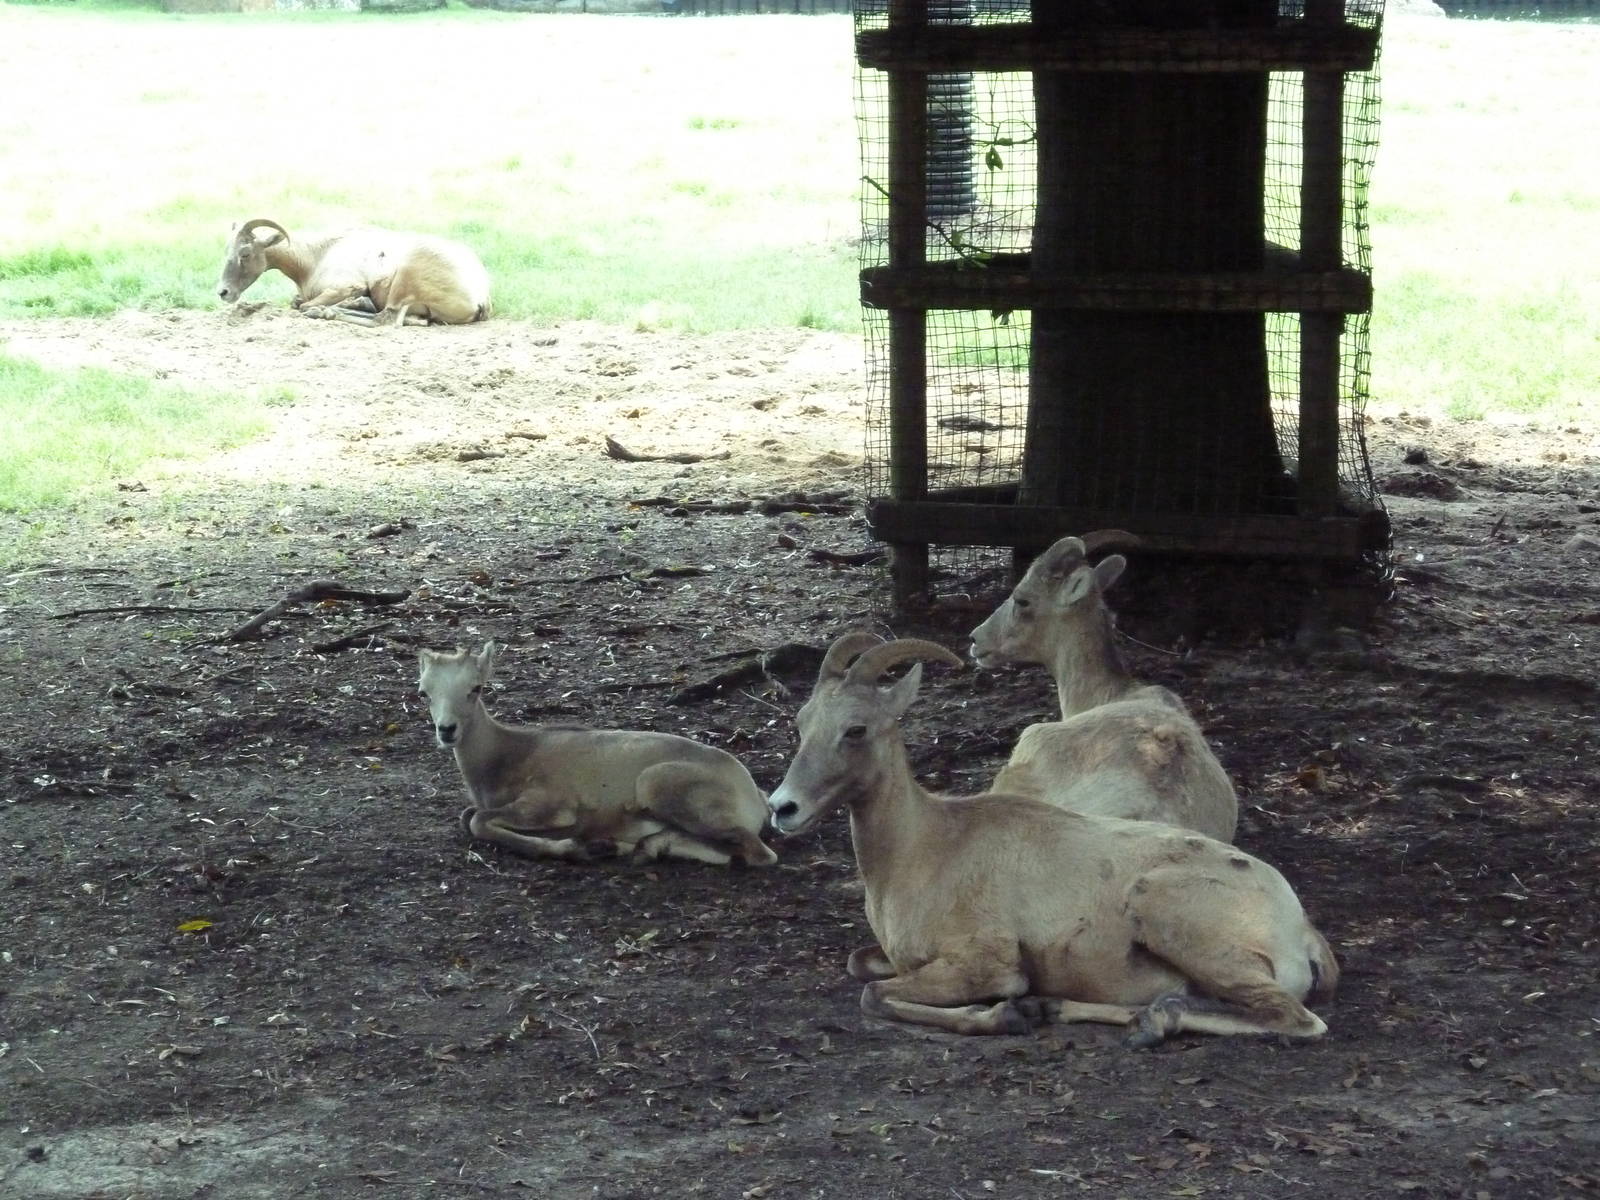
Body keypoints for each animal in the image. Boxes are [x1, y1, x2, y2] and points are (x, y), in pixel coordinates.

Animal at [217, 218, 491, 327]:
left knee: (385, 321)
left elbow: (303, 305)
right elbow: (296, 302)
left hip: (405, 278)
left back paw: (328, 311)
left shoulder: (346, 286)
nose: (223, 292)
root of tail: (481, 299)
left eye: (245, 254)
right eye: (227, 249)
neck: (317, 256)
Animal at [418, 643, 776, 867]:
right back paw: (630, 847)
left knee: (760, 854)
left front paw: (572, 848)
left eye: (476, 688)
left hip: (657, 783)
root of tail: (756, 796)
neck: (508, 755)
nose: (446, 730)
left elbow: (476, 819)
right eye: (424, 692)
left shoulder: (549, 804)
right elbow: (468, 815)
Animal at [766, 633, 1336, 1045]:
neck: (922, 849)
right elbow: (860, 969)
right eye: (802, 723)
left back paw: (1146, 1021)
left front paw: (1004, 1016)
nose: (782, 808)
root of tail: (1301, 930)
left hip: (1170, 913)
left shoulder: (984, 962)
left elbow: (874, 996)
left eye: (856, 729)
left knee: (1295, 1020)